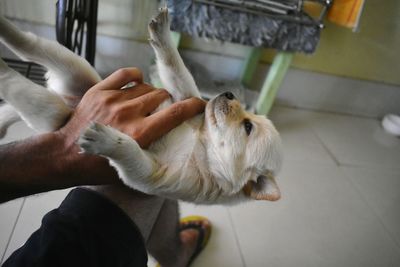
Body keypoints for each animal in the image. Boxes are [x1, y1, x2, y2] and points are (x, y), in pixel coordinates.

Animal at [0, 8, 282, 205]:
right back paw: (6, 29)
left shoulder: (149, 176)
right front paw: (164, 36)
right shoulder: (185, 97)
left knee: (16, 87)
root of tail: (67, 100)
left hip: (49, 107)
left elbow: (130, 153)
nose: (229, 93)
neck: (202, 145)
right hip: (73, 66)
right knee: (29, 44)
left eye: (247, 126)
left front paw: (107, 140)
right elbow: (177, 68)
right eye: (248, 118)